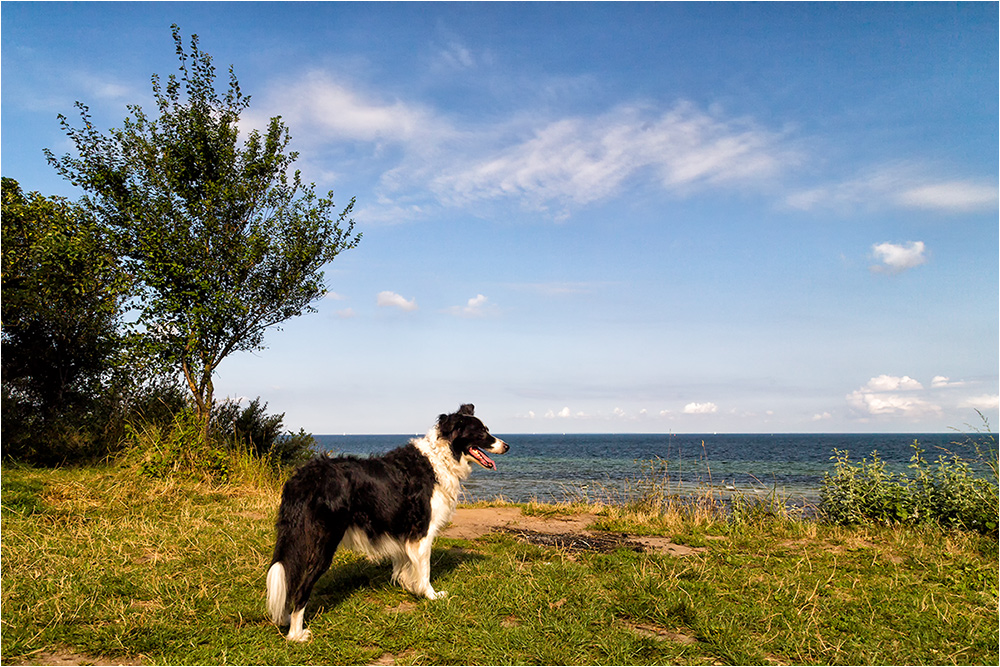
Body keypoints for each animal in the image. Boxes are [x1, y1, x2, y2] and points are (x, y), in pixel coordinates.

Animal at [266, 402, 508, 640]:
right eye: (481, 432)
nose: (506, 446)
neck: (443, 456)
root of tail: (306, 477)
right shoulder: (422, 532)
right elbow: (425, 569)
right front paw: (430, 595)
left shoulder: (403, 531)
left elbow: (405, 565)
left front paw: (410, 587)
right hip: (323, 542)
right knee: (301, 588)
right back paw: (296, 634)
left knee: (288, 578)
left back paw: (285, 619)